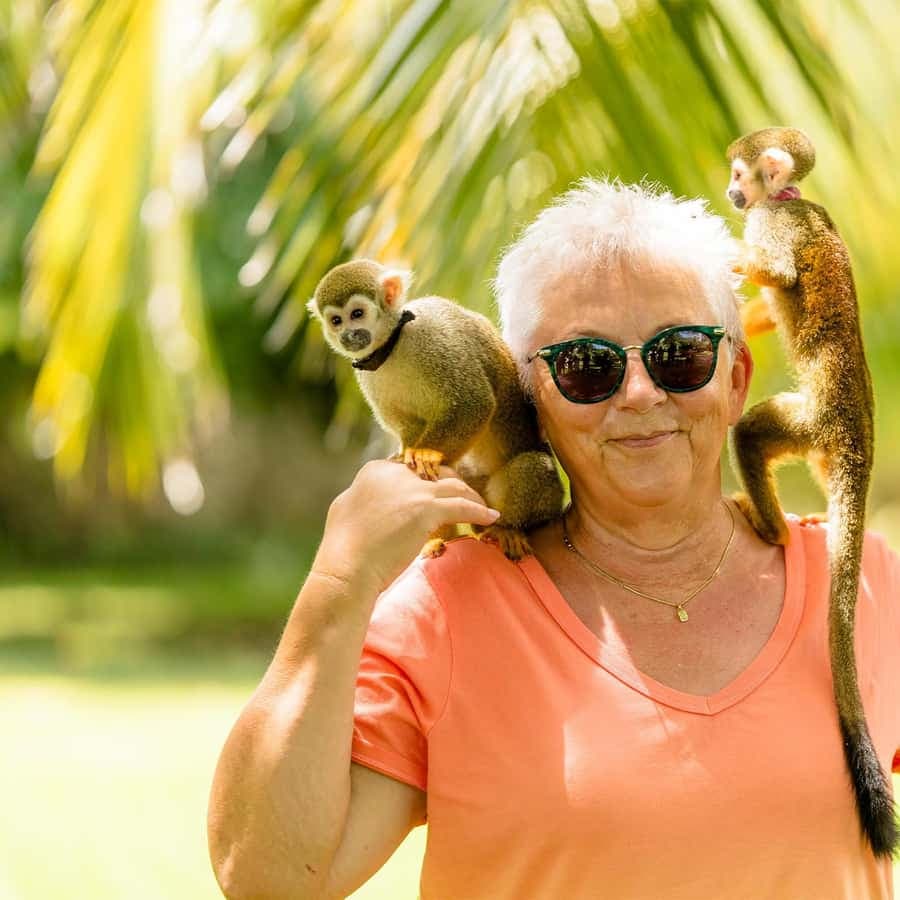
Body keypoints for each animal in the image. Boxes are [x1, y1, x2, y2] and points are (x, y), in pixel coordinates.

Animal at [307, 259, 565, 560]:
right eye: (336, 321)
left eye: (357, 314)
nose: (348, 335)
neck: (392, 346)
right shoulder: (367, 374)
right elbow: (411, 425)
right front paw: (406, 454)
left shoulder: (432, 339)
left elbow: (473, 401)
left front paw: (426, 453)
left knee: (533, 466)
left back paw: (506, 528)